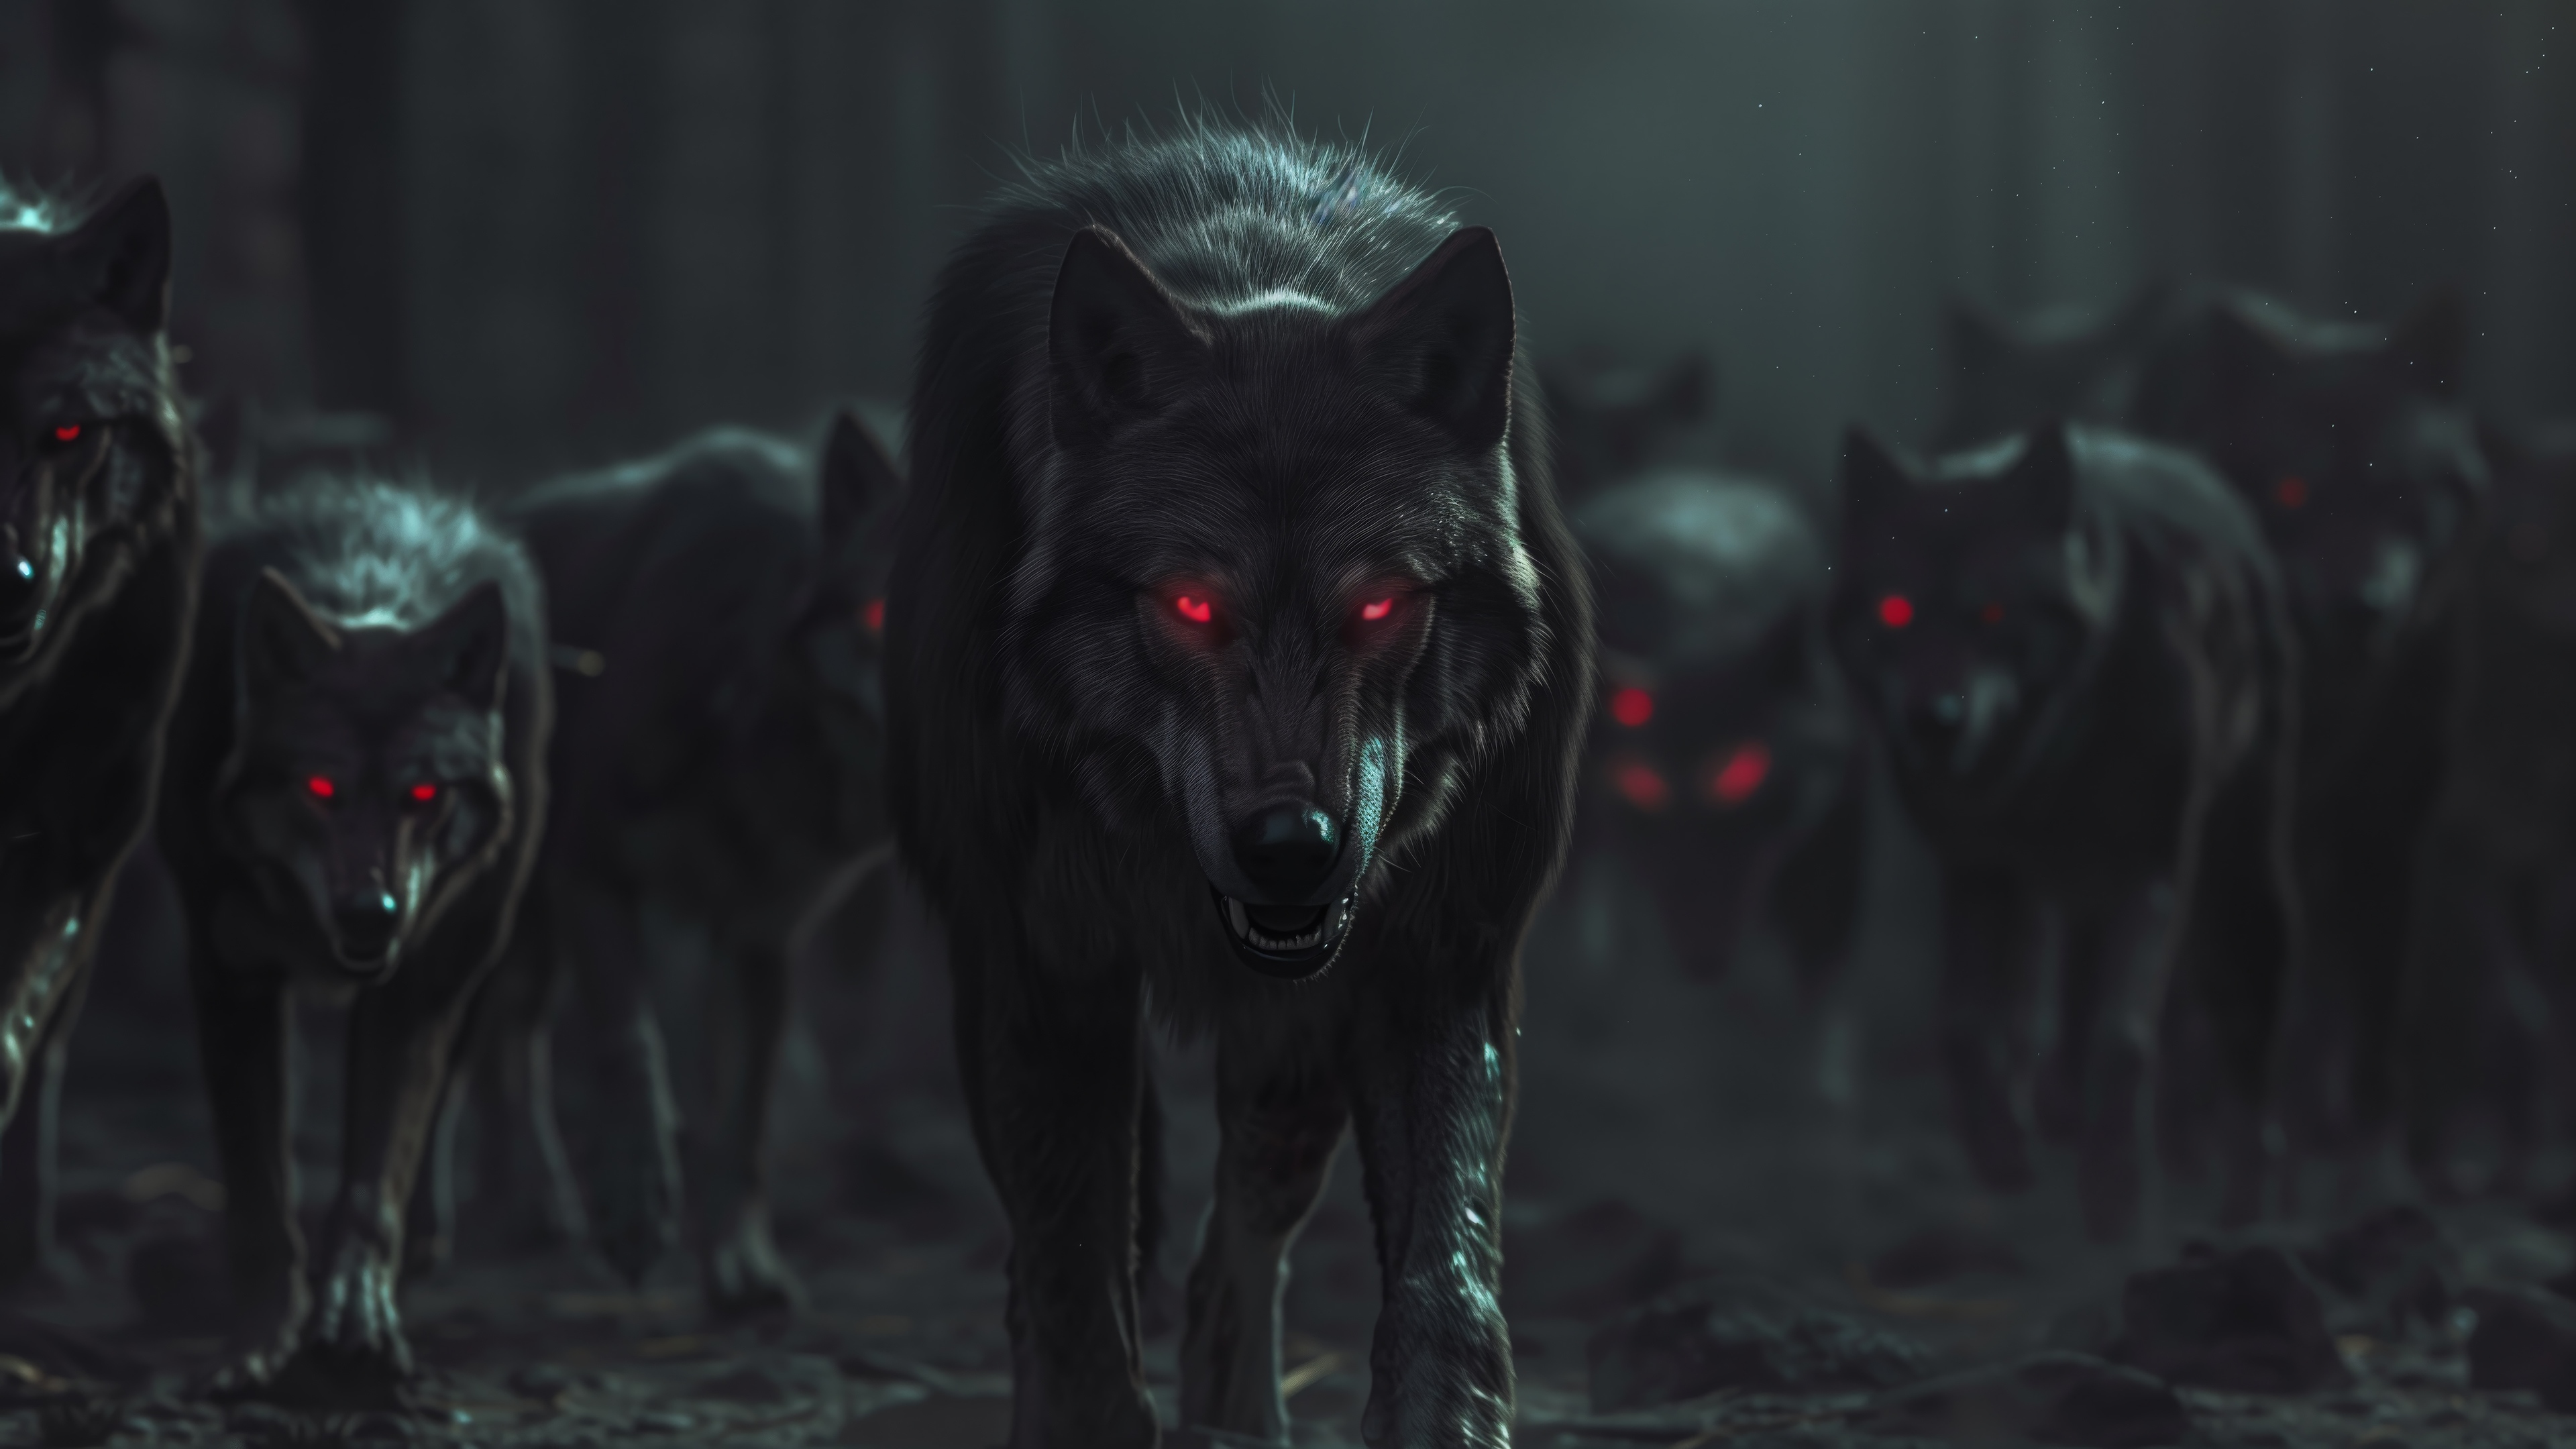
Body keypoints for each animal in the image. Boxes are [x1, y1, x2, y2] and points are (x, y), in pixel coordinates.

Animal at [157, 477, 548, 1399]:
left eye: (424, 793)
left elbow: (375, 1176)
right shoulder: (231, 978)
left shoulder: (422, 976)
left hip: (469, 952)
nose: (374, 913)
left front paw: (357, 1317)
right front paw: (257, 1342)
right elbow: (259, 1188)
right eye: (320, 787)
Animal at [426, 415, 904, 1312]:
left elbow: (744, 1123)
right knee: (461, 1061)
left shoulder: (760, 941)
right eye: (882, 610)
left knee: (516, 1045)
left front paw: (744, 1264)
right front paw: (636, 1211)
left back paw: (527, 1204)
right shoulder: (594, 871)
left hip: (534, 946)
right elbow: (632, 1049)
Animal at [886, 128, 1590, 1447]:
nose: (1292, 846)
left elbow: (1448, 1275)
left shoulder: (1444, 954)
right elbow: (1073, 1284)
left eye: (1381, 603)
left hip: (1293, 1055)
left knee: (1234, 1258)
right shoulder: (1046, 969)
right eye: (1192, 605)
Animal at [1832, 423, 2298, 1241]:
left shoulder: (2154, 869)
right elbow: (1964, 1025)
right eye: (1895, 611)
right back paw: (2052, 1114)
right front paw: (2001, 1157)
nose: (1934, 721)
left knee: (2247, 1035)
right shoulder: (1978, 870)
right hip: (2058, 899)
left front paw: (2114, 1192)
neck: (2057, 759)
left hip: (2234, 890)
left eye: (1992, 614)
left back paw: (2250, 1203)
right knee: (2046, 1009)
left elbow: (2125, 1037)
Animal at [2135, 290, 2484, 1168]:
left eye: (2401, 494)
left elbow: (2373, 1030)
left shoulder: (2387, 837)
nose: (2363, 605)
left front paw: (2367, 1158)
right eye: (2293, 490)